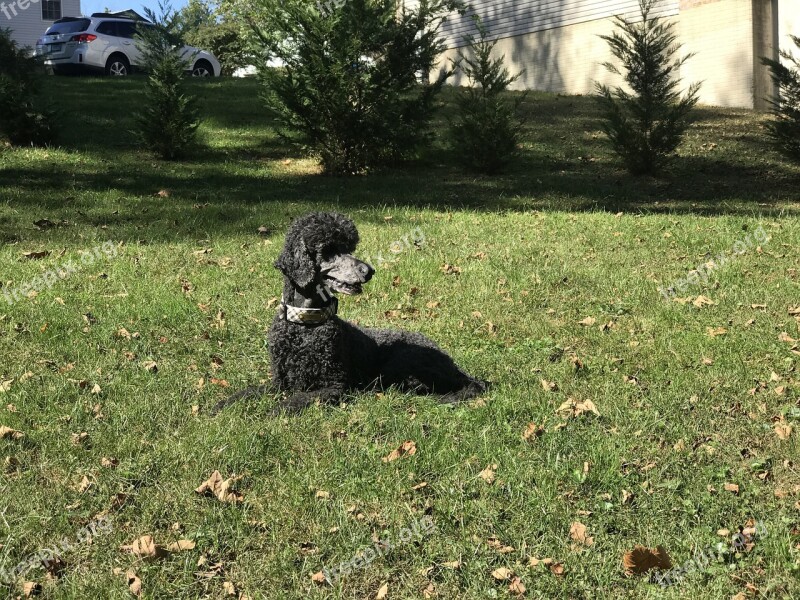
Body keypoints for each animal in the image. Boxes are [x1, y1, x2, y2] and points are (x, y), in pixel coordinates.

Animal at [214, 211, 488, 412]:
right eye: (329, 250)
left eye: (349, 248)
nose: (369, 270)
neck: (305, 324)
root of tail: (453, 364)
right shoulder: (280, 382)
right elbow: (249, 391)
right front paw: (224, 405)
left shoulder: (334, 387)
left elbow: (295, 400)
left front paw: (271, 412)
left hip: (401, 365)